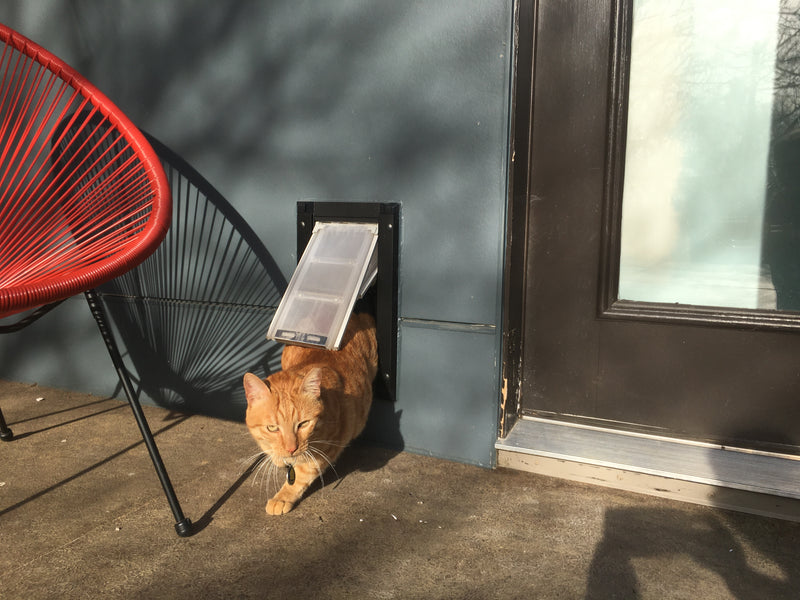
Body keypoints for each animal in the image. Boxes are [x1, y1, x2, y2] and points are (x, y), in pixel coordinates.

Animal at [244, 312, 378, 512]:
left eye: (303, 424)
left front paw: (283, 497)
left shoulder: (326, 449)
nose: (291, 449)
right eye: (272, 428)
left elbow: (301, 476)